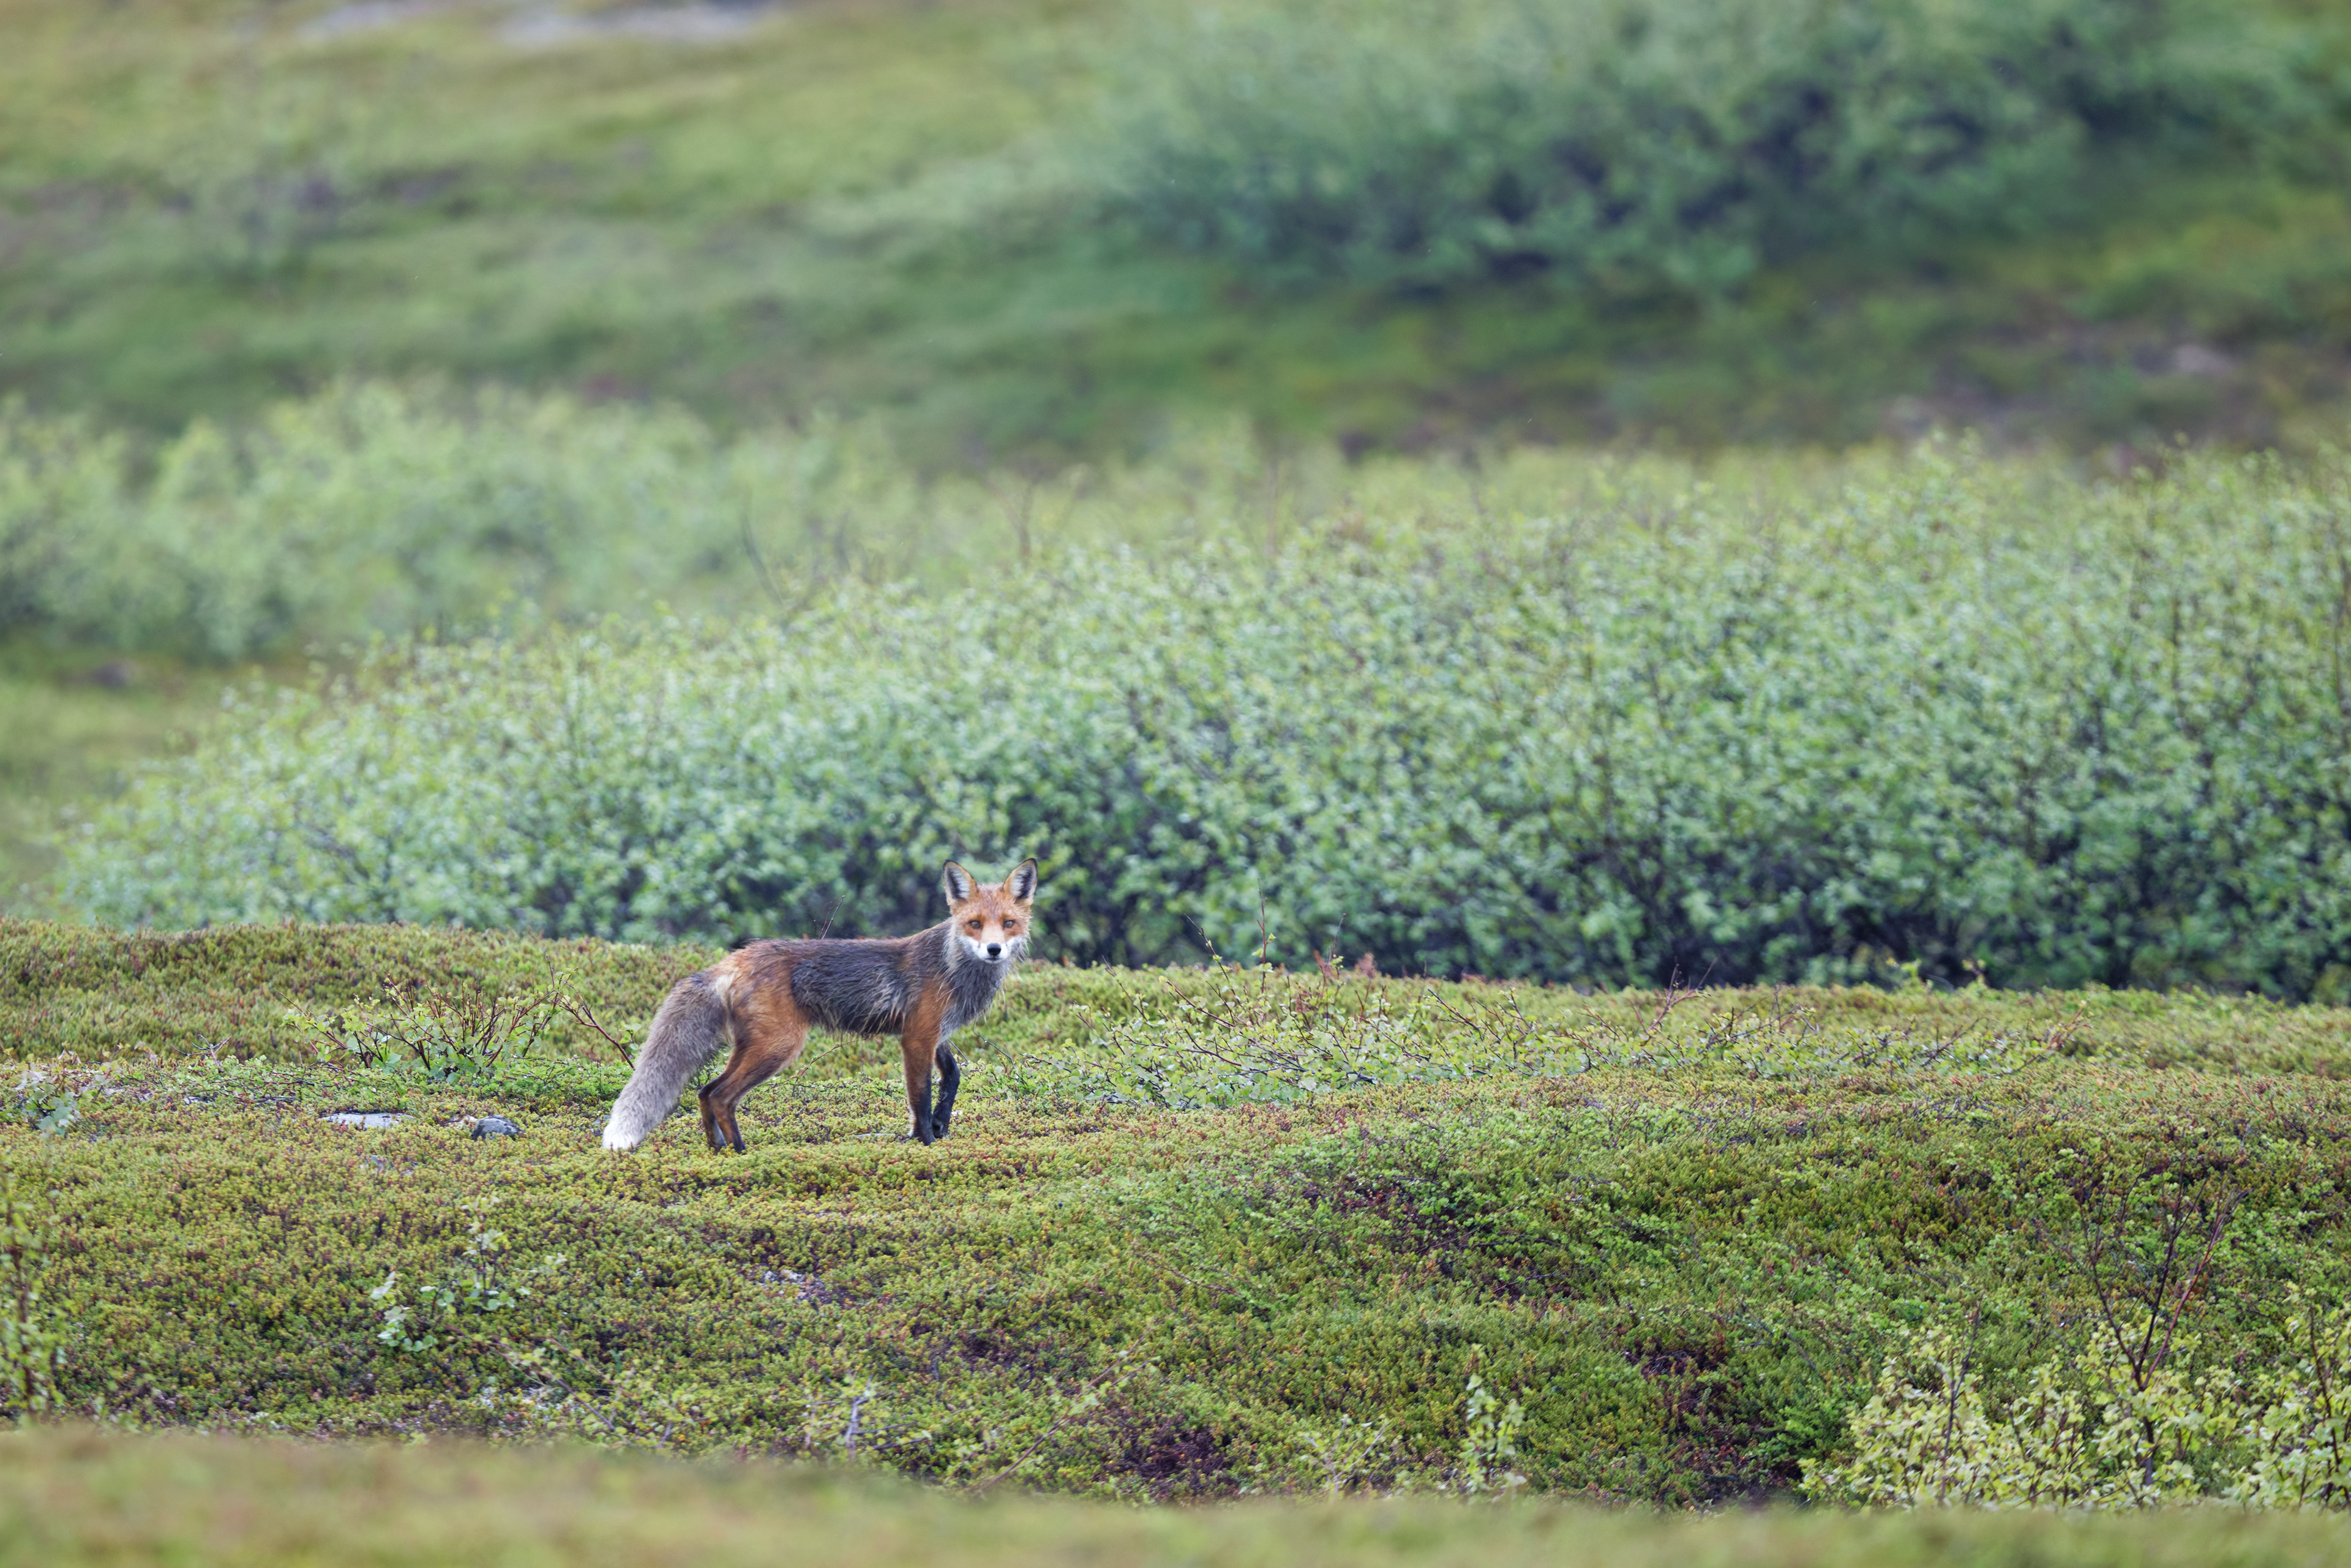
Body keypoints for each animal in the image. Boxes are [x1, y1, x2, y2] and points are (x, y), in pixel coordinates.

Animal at [600, 859, 1038, 1154]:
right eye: (975, 924)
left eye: (1009, 923)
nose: (994, 950)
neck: (952, 968)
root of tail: (735, 959)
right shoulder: (916, 1038)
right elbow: (921, 1096)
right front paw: (926, 1143)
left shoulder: (935, 1034)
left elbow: (952, 1079)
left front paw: (941, 1127)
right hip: (779, 1047)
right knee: (722, 1095)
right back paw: (742, 1154)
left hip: (752, 1047)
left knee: (706, 1093)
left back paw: (718, 1150)